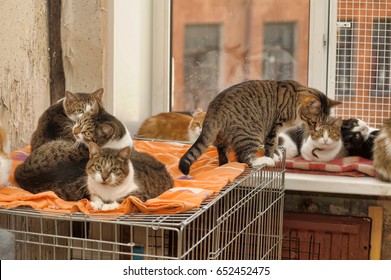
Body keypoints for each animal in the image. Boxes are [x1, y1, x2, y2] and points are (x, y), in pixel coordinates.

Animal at [179, 79, 342, 175]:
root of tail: (214, 109)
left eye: (322, 123)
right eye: (314, 123)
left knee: (225, 157)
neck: (294, 102)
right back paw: (262, 161)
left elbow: (275, 144)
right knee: (244, 158)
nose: (315, 130)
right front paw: (271, 156)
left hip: (223, 139)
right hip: (250, 134)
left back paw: (226, 165)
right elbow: (270, 144)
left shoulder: (276, 131)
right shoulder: (273, 127)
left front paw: (277, 153)